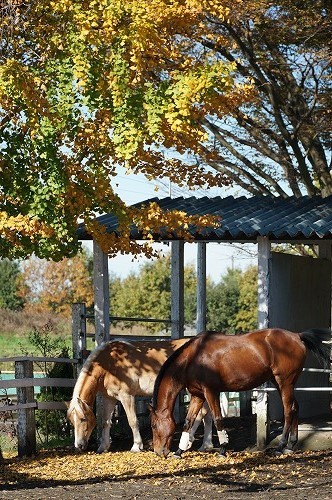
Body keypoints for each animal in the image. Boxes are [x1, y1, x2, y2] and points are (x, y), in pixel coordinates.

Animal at [67, 340, 213, 454]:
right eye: (72, 421)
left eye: (83, 419)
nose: (79, 445)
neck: (110, 363)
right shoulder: (109, 398)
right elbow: (105, 422)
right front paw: (103, 447)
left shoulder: (127, 396)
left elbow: (133, 421)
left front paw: (136, 446)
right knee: (207, 415)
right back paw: (205, 445)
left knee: (201, 414)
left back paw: (188, 443)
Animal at [150, 326, 330, 458]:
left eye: (153, 425)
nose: (158, 452)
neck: (193, 357)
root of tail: (297, 336)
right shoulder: (197, 395)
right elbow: (188, 421)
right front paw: (179, 451)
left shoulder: (211, 392)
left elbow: (217, 419)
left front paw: (223, 449)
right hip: (282, 384)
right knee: (295, 407)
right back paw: (291, 445)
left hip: (284, 382)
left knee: (288, 411)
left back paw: (281, 446)